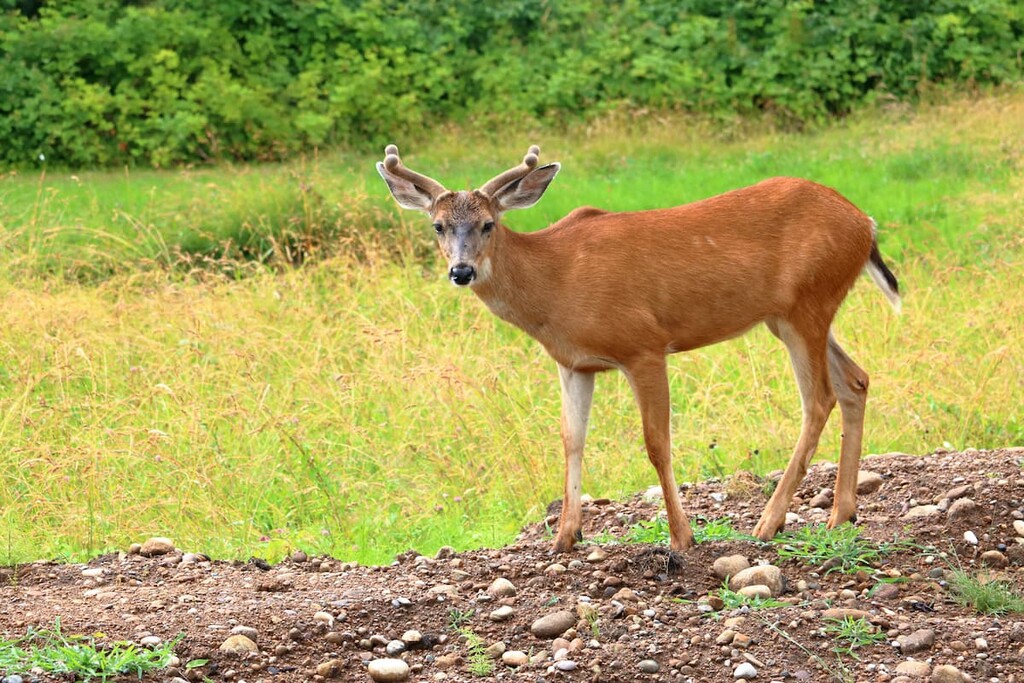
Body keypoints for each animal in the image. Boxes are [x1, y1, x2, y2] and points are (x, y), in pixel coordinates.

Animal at [376, 143, 900, 553]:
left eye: (488, 224)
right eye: (438, 226)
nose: (461, 271)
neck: (554, 282)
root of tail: (866, 223)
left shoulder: (643, 345)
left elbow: (656, 443)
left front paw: (682, 538)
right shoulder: (574, 363)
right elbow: (571, 439)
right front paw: (565, 537)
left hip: (807, 304)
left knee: (819, 398)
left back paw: (768, 523)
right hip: (793, 314)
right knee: (855, 380)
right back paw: (841, 514)